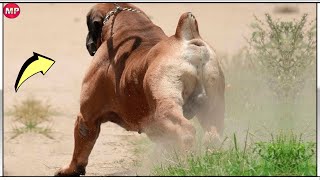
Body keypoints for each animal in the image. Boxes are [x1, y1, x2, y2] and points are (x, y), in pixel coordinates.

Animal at [54, 3, 225, 176]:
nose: (88, 41)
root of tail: (185, 38)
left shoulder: (86, 118)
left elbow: (80, 150)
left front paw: (71, 169)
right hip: (213, 111)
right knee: (212, 135)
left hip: (165, 109)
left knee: (186, 131)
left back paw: (185, 165)